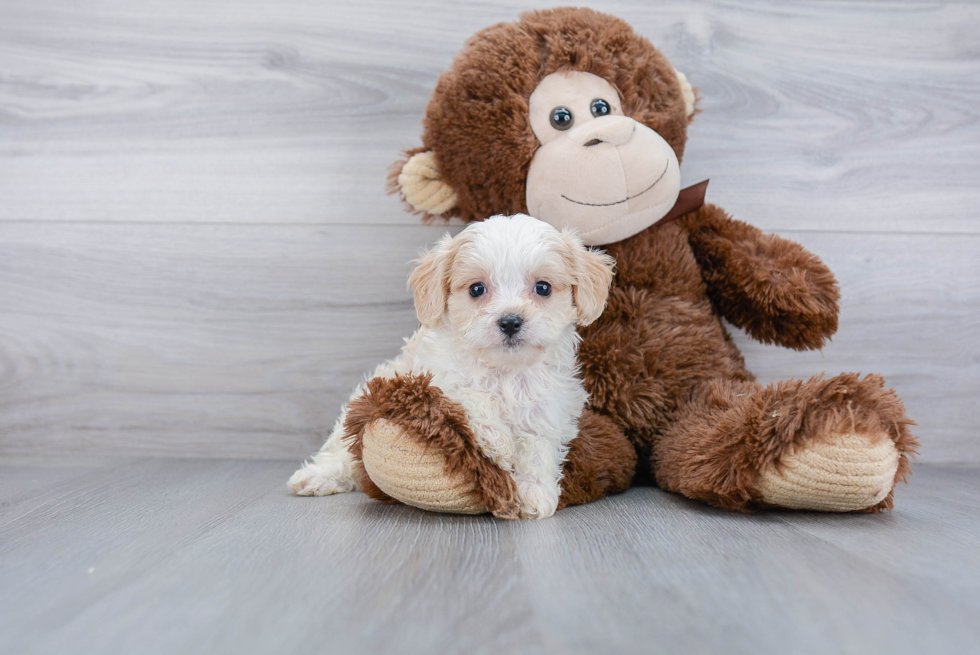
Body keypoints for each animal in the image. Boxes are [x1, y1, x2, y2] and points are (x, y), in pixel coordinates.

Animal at [288, 218, 616, 520]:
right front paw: (498, 441)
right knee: (342, 453)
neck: (504, 371)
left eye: (543, 288)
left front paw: (535, 493)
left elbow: (538, 445)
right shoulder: (429, 379)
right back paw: (318, 476)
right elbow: (469, 394)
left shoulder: (550, 406)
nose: (510, 321)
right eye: (477, 289)